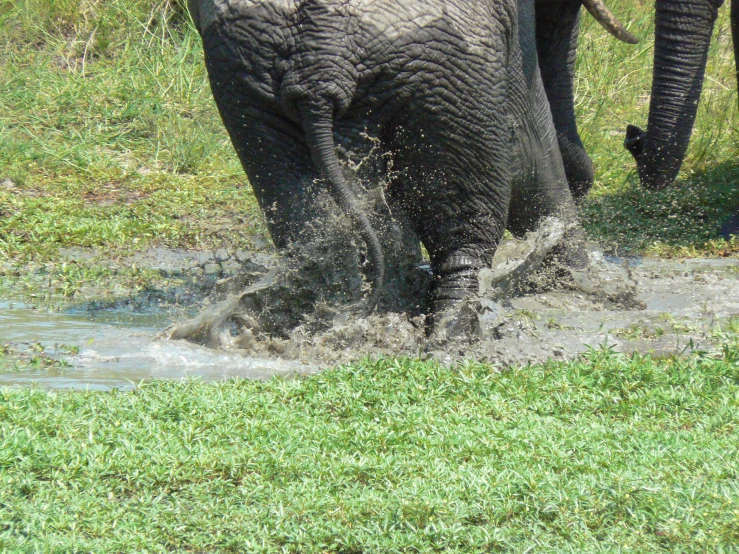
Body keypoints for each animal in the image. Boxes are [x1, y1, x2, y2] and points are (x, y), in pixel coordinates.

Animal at [186, 0, 632, 320]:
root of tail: (321, 64)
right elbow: (530, 143)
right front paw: (580, 283)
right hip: (449, 64)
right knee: (465, 233)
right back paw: (453, 332)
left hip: (246, 74)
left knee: (318, 219)